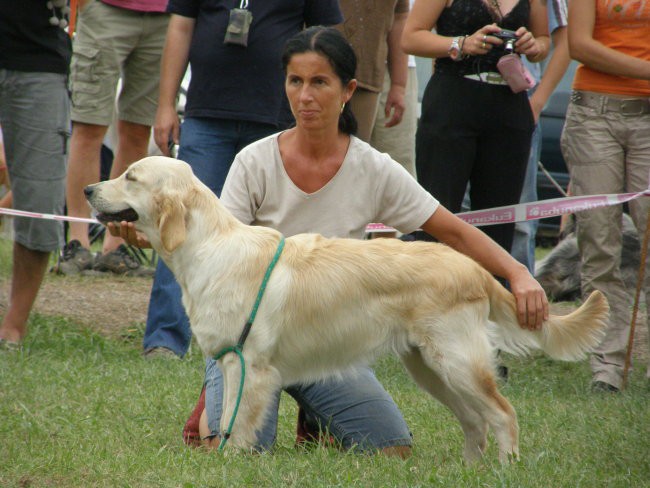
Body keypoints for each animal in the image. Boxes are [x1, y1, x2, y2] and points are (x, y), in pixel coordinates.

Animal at [86, 157, 608, 466]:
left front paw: (231, 464)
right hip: (429, 367)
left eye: (130, 177)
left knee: (502, 413)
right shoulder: (233, 363)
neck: (208, 246)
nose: (90, 188)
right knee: (475, 420)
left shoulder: (251, 365)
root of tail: (476, 269)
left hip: (456, 360)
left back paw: (503, 467)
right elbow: (224, 421)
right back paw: (470, 469)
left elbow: (239, 426)